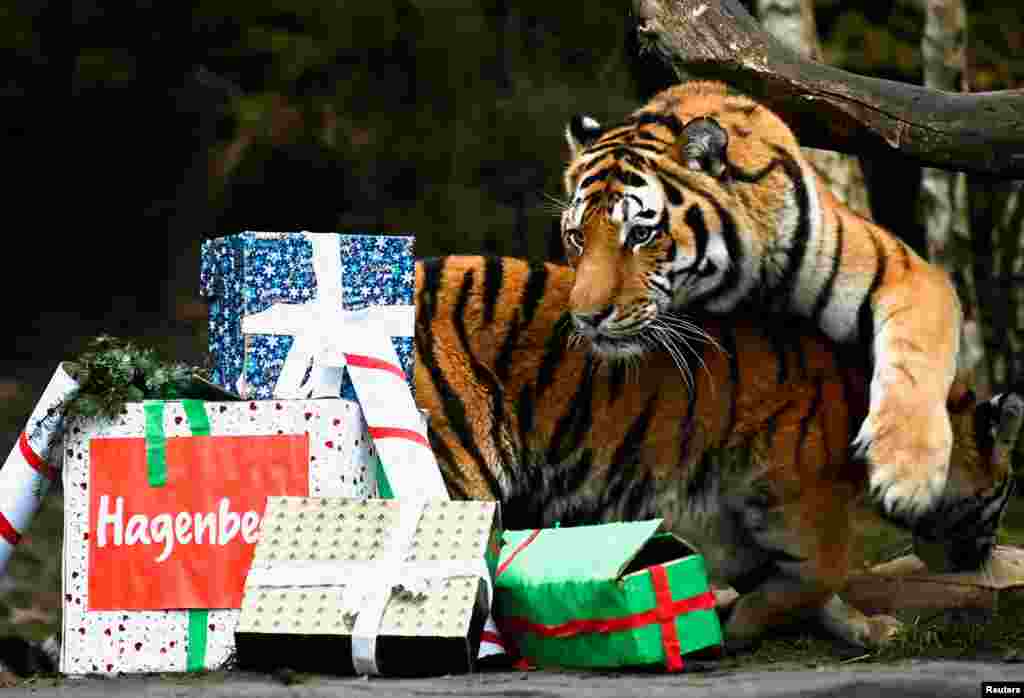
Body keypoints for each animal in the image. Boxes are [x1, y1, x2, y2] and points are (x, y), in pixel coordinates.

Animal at [415, 255, 1020, 651]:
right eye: (1004, 494)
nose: (982, 558)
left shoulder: (721, 510)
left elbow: (802, 586)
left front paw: (866, 630)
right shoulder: (798, 499)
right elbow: (822, 574)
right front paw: (741, 628)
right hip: (458, 469)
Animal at [559, 80, 963, 532]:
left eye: (641, 234)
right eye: (577, 237)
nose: (585, 318)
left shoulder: (905, 269)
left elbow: (916, 356)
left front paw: (906, 477)